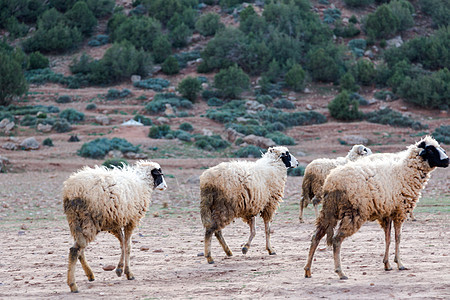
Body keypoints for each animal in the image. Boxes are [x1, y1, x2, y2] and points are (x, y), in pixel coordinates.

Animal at [62, 161, 167, 292]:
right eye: (160, 174)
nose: (165, 186)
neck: (142, 182)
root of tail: (72, 190)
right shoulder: (131, 220)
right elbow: (128, 245)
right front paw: (128, 273)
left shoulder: (115, 222)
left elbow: (122, 243)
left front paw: (120, 269)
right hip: (88, 221)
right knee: (75, 250)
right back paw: (73, 285)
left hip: (75, 222)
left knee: (80, 249)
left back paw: (90, 275)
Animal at [304, 137, 448, 280]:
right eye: (430, 150)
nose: (447, 160)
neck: (404, 171)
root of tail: (332, 181)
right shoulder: (399, 211)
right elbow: (398, 237)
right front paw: (399, 263)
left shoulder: (387, 214)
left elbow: (388, 238)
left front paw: (387, 264)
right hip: (353, 213)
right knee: (336, 239)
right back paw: (340, 272)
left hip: (329, 210)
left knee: (315, 237)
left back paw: (308, 270)